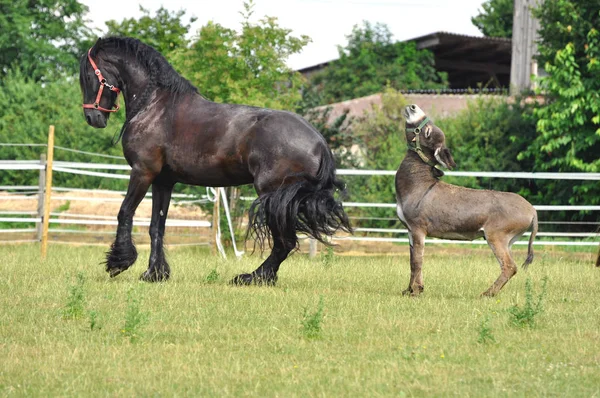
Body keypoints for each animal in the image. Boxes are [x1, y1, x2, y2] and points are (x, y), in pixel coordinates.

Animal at [79, 37, 352, 284]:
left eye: (88, 77)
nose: (93, 118)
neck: (156, 105)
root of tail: (318, 141)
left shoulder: (142, 172)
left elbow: (125, 211)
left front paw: (119, 262)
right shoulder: (163, 181)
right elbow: (157, 225)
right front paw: (155, 273)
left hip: (273, 196)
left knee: (284, 241)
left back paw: (253, 277)